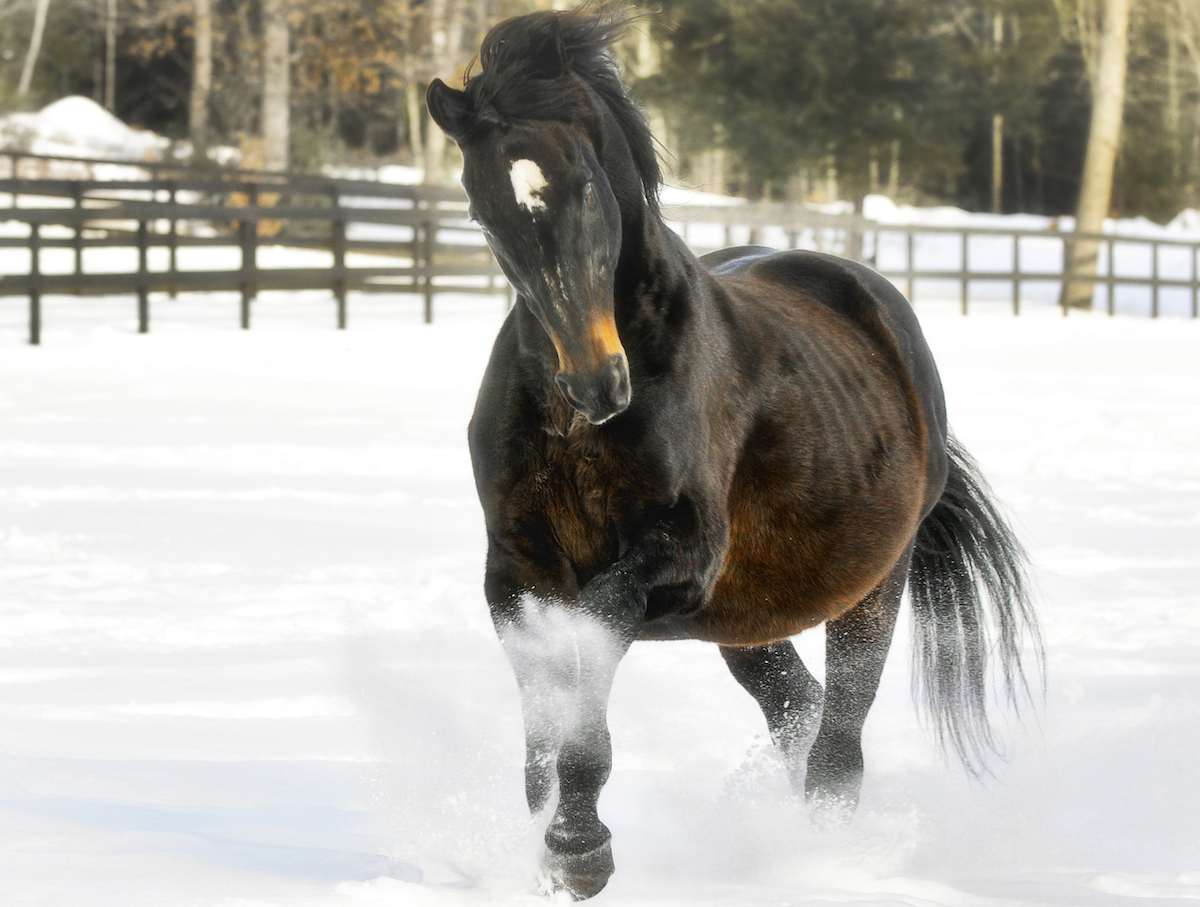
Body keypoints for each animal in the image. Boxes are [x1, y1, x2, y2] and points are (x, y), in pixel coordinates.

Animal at [429, 7, 1041, 902]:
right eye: (481, 211)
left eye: (585, 186)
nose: (596, 384)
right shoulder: (515, 570)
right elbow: (544, 721)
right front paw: (549, 844)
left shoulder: (677, 559)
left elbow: (589, 653)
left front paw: (580, 847)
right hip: (750, 622)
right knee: (799, 710)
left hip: (871, 590)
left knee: (837, 745)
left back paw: (825, 859)